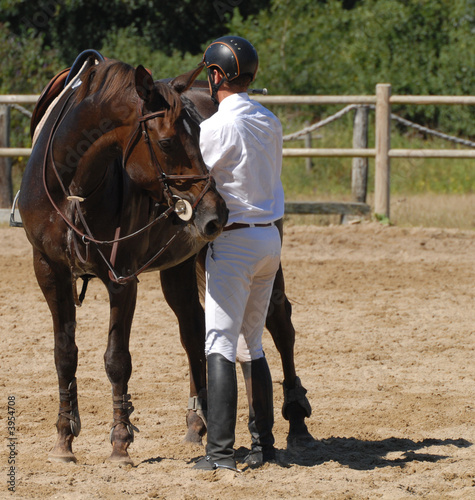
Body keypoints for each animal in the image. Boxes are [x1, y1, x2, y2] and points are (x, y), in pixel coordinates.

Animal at [20, 52, 231, 462]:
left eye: (202, 136)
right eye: (167, 142)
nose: (215, 213)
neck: (73, 186)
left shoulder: (122, 277)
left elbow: (117, 359)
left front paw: (120, 441)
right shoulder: (49, 271)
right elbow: (64, 354)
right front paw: (63, 439)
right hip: (178, 268)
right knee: (192, 328)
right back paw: (196, 423)